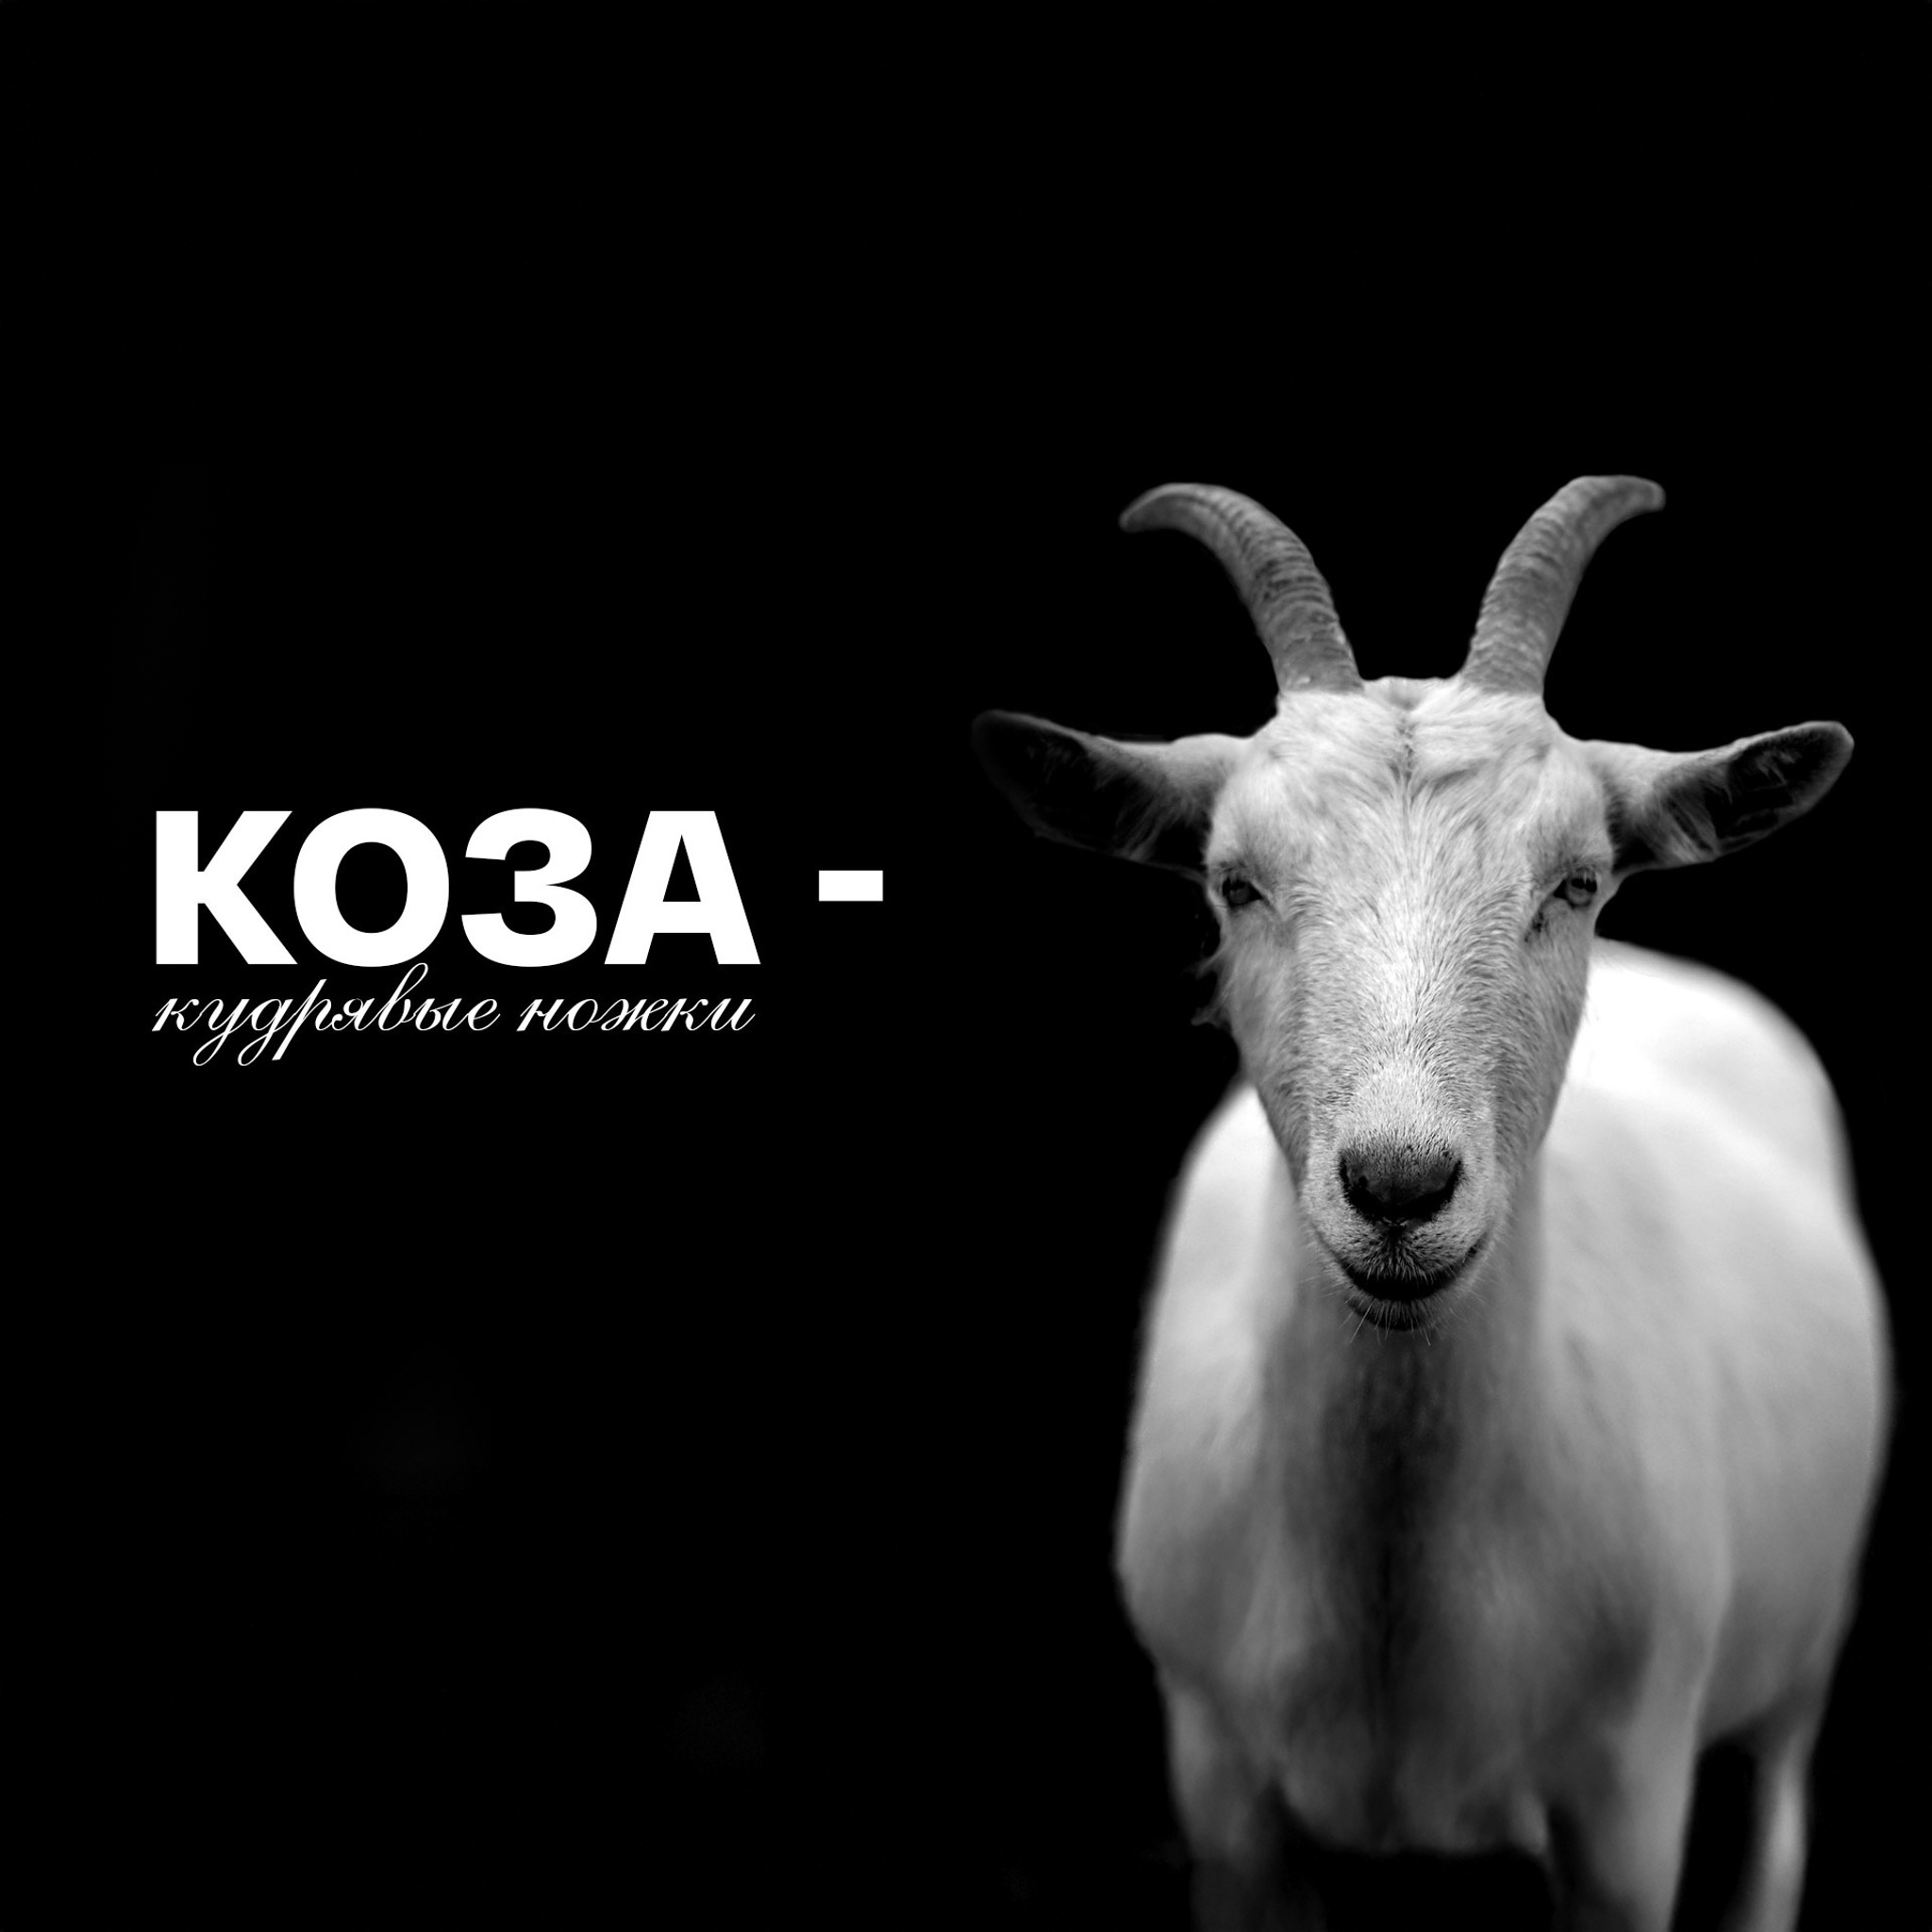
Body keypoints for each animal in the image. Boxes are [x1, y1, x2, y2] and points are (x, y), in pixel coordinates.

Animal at [973, 479, 1889, 1931]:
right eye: (1234, 881)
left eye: (1576, 880)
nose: (1399, 1187)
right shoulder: (1225, 1794)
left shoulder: (1627, 1805)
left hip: (1795, 1669)